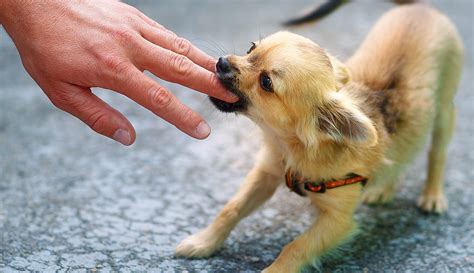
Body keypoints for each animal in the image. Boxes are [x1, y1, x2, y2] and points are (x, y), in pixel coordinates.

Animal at [175, 1, 462, 270]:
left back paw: (432, 196)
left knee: (437, 154)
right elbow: (230, 209)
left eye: (266, 82)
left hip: (444, 114)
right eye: (251, 48)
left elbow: (296, 248)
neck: (291, 147)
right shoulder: (266, 174)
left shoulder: (337, 221)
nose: (222, 62)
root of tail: (421, 8)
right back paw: (383, 189)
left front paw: (274, 270)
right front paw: (203, 242)